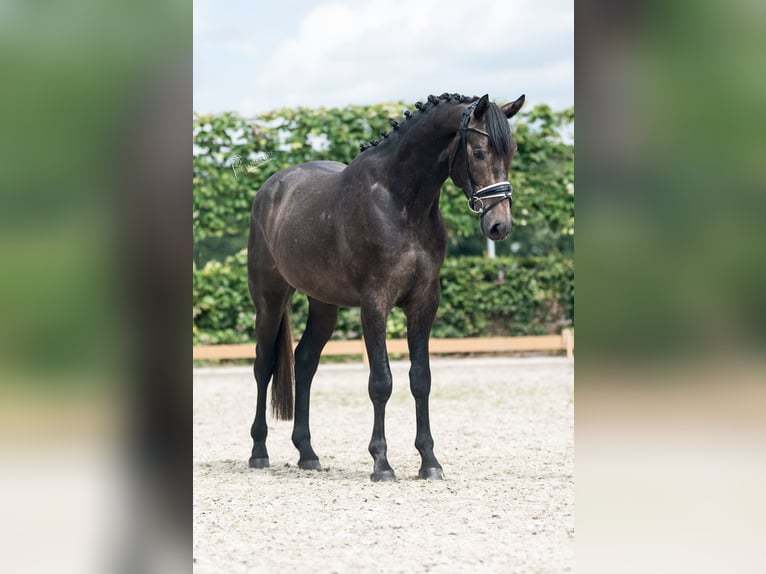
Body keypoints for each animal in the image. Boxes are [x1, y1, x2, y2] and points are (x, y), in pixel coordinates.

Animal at [249, 93, 524, 482]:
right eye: (478, 152)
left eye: (511, 151)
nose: (500, 225)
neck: (401, 203)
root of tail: (270, 189)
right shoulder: (375, 303)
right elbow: (381, 381)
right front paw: (381, 463)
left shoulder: (424, 303)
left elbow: (420, 379)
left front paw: (429, 461)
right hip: (269, 301)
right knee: (264, 364)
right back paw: (258, 452)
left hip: (323, 304)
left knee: (304, 361)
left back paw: (307, 453)